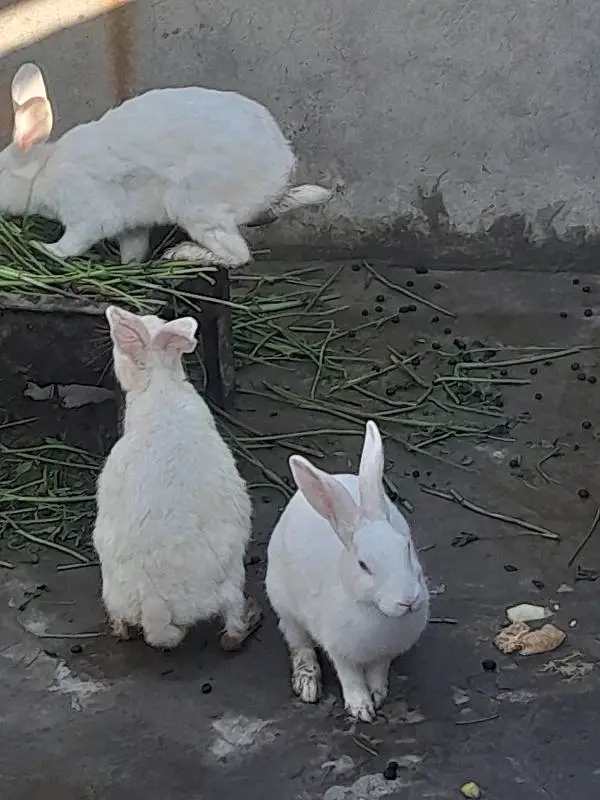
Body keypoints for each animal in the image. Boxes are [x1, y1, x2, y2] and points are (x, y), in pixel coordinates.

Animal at [0, 62, 331, 266]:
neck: (41, 172)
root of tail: (281, 174)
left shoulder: (86, 214)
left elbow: (71, 244)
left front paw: (43, 248)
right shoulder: (132, 226)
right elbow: (134, 249)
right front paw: (128, 266)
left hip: (195, 206)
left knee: (237, 255)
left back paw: (181, 254)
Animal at [265, 420, 429, 722]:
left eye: (406, 546)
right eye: (363, 565)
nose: (409, 600)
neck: (374, 610)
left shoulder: (384, 655)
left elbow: (378, 672)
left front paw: (378, 695)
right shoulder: (339, 650)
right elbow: (349, 676)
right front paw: (361, 708)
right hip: (283, 603)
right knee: (298, 642)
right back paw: (308, 683)